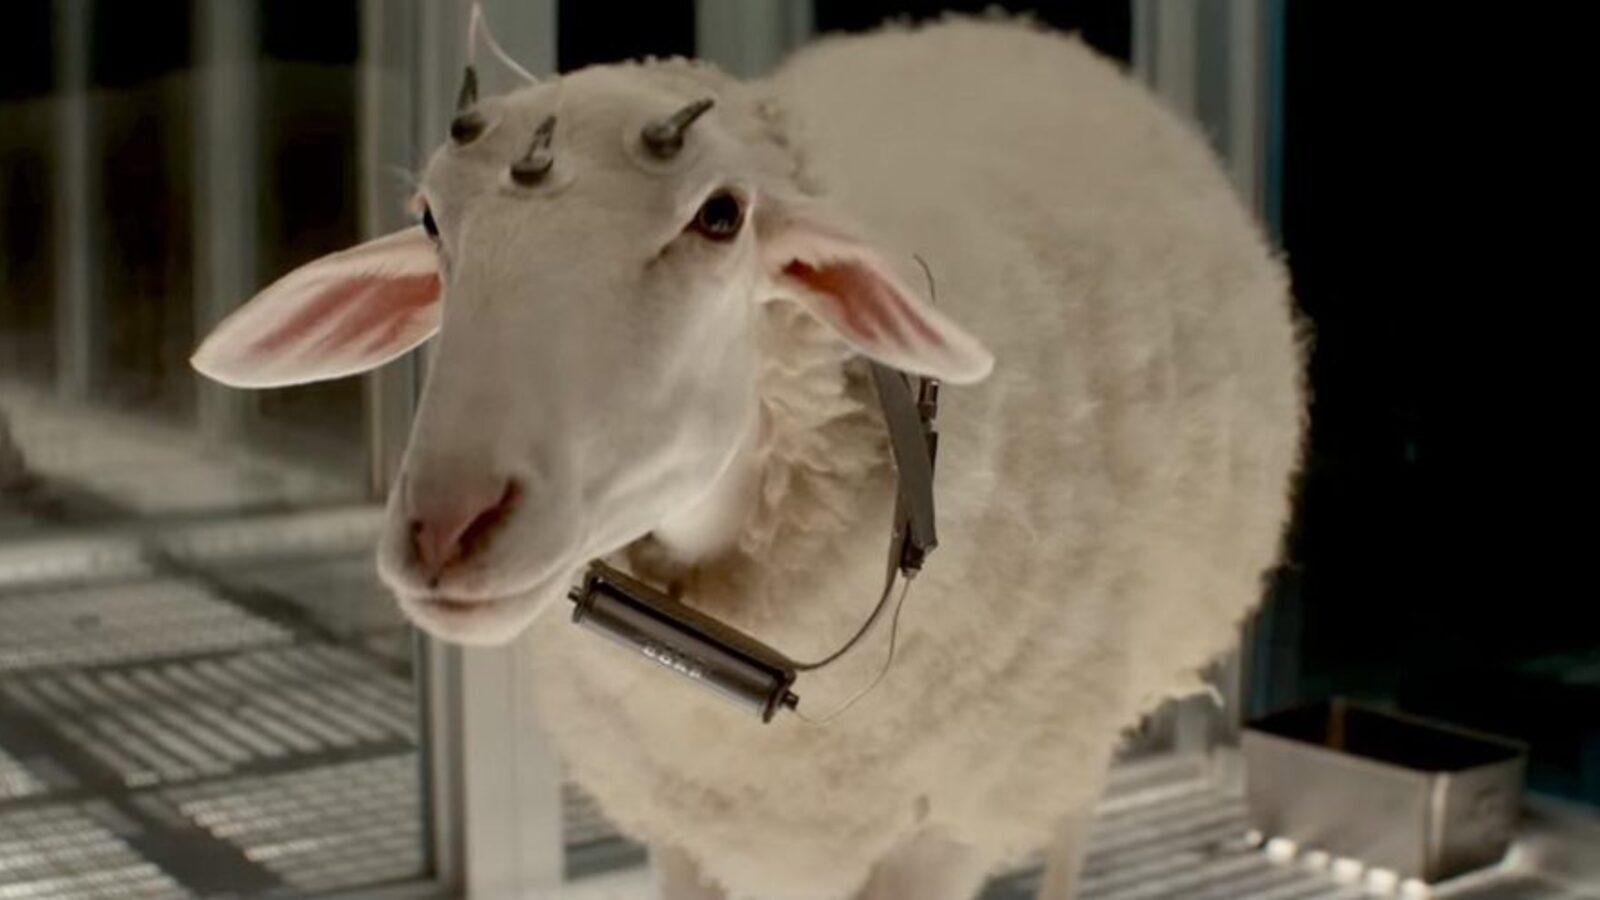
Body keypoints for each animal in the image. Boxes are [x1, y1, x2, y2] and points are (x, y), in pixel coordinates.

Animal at [191, 14, 1304, 900]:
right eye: (429, 219)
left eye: (720, 217)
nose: (445, 526)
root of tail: (1015, 28)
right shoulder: (686, 822)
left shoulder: (944, 825)